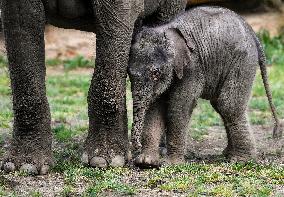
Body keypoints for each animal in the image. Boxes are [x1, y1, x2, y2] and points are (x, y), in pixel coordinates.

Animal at [129, 5, 282, 168]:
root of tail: (253, 33)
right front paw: (146, 162)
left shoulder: (193, 68)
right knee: (220, 105)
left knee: (228, 106)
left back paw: (241, 160)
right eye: (129, 74)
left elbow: (179, 107)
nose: (136, 148)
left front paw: (171, 164)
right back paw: (229, 155)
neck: (167, 31)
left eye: (155, 73)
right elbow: (155, 107)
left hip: (243, 61)